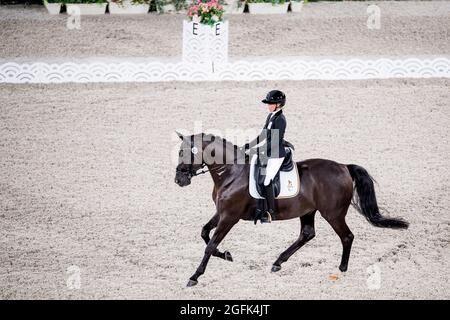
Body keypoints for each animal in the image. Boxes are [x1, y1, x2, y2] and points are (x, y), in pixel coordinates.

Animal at [174, 131, 410, 286]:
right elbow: (204, 233)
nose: (179, 180)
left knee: (347, 236)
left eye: (185, 152)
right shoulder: (221, 213)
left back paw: (342, 269)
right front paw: (227, 255)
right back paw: (278, 262)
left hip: (333, 214)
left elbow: (210, 245)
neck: (232, 172)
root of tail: (344, 166)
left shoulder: (230, 216)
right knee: (307, 234)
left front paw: (195, 276)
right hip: (308, 211)